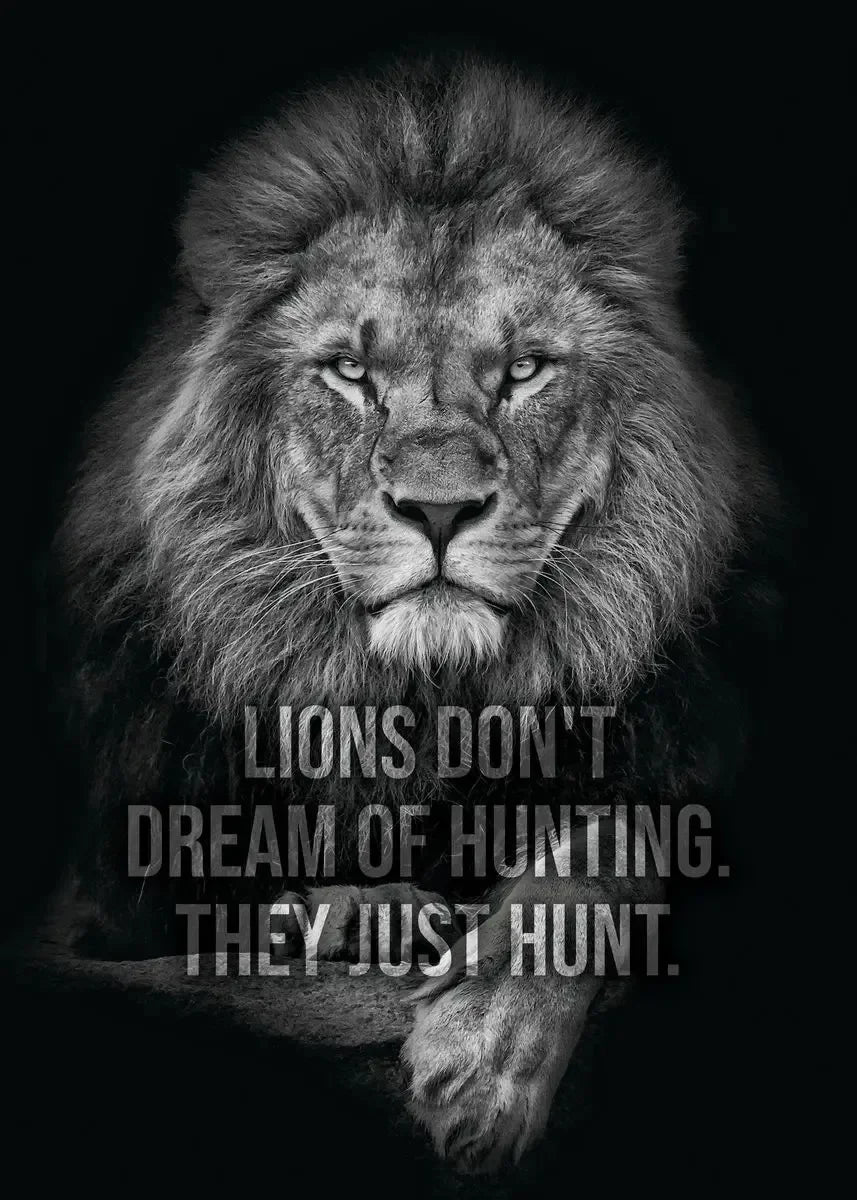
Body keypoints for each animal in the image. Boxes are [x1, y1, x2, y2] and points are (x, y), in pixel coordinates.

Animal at [56, 58, 780, 1172]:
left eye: (522, 368)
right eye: (350, 372)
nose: (437, 510)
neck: (428, 704)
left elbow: (609, 845)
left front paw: (483, 1057)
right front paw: (363, 918)